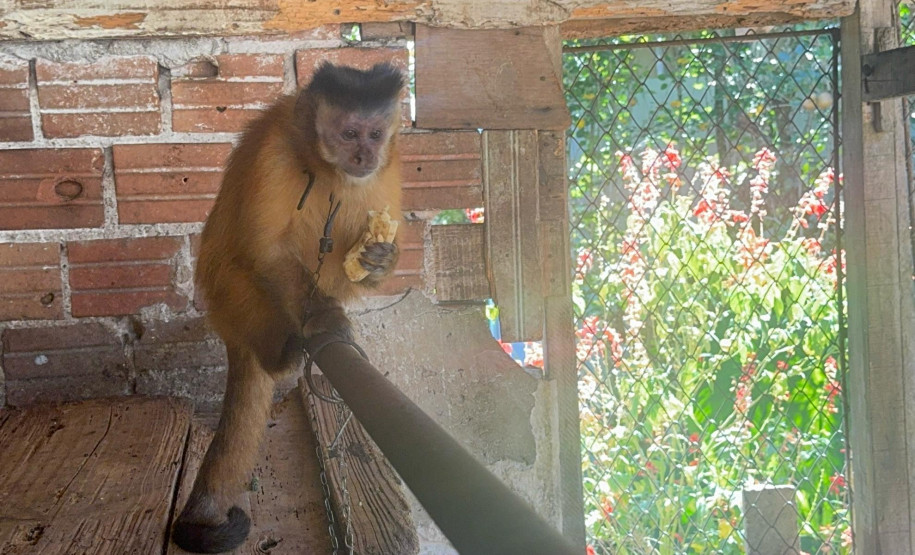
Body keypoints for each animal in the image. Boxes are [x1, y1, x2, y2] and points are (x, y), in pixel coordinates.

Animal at [172, 62, 405, 553]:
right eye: (349, 133)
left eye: (375, 134)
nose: (363, 156)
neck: (323, 164)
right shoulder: (274, 153)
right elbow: (269, 251)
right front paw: (324, 319)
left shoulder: (387, 168)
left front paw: (380, 258)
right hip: (233, 297)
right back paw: (284, 351)